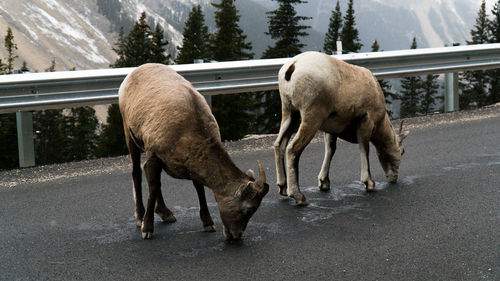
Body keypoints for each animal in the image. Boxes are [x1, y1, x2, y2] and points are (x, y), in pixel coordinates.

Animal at [119, 63, 270, 238]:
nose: (236, 235)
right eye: (248, 209)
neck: (187, 131)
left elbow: (198, 187)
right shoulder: (154, 154)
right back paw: (140, 216)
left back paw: (166, 213)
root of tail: (133, 72)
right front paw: (147, 228)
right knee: (136, 172)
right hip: (129, 133)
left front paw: (208, 223)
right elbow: (154, 187)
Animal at [274, 50, 410, 203]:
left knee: (279, 145)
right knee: (293, 149)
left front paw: (324, 183)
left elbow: (330, 150)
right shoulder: (365, 121)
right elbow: (364, 149)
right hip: (312, 117)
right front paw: (369, 183)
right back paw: (298, 196)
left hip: (289, 112)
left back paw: (283, 188)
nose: (394, 178)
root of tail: (292, 67)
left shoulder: (330, 129)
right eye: (402, 151)